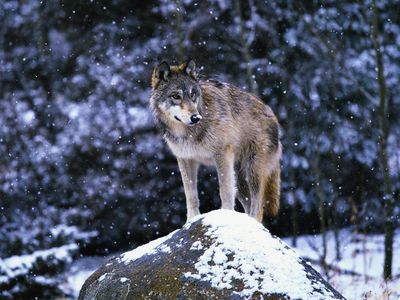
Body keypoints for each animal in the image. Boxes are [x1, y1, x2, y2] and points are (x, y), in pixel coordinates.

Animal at [149, 59, 282, 223]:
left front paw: (225, 215)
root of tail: (271, 112)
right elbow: (190, 194)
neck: (188, 133)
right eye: (176, 96)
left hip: (252, 171)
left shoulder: (222, 154)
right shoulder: (185, 159)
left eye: (193, 95)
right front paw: (191, 220)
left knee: (258, 206)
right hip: (239, 179)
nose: (195, 117)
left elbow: (224, 191)